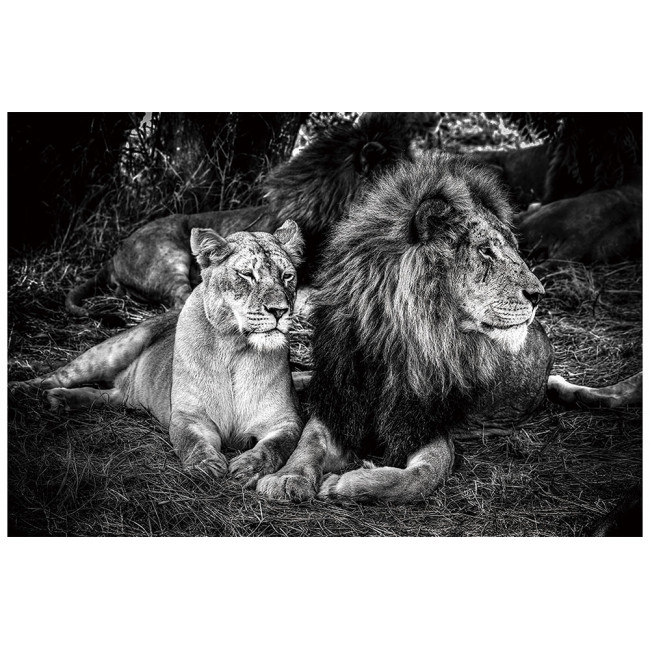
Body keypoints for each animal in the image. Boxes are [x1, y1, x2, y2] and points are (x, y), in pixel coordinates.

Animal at [13, 221, 305, 486]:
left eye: (287, 276)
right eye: (246, 274)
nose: (279, 310)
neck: (235, 347)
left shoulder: (284, 421)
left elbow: (274, 447)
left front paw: (248, 466)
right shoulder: (189, 416)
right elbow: (192, 442)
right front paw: (205, 465)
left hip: (126, 393)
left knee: (105, 395)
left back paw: (61, 400)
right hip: (114, 349)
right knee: (59, 375)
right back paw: (21, 389)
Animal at [257, 153, 642, 504]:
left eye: (515, 249)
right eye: (486, 251)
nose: (538, 295)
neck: (394, 339)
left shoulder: (424, 424)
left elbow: (418, 477)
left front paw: (345, 483)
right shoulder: (341, 402)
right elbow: (308, 443)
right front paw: (286, 478)